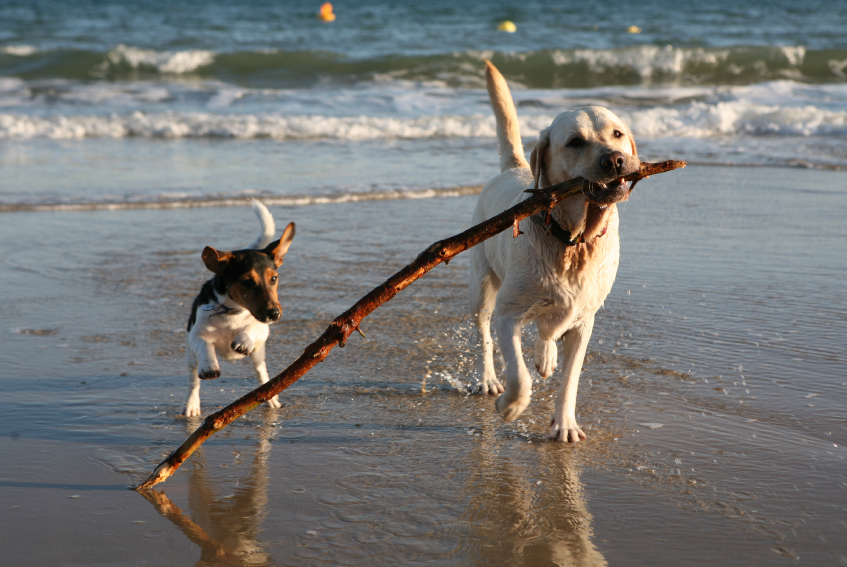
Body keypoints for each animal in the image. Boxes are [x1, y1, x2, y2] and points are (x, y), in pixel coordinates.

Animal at [182, 200, 294, 418]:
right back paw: (191, 405)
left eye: (274, 279)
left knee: (262, 374)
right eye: (247, 282)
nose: (275, 314)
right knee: (193, 382)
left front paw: (243, 339)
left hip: (258, 355)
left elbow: (252, 327)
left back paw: (271, 399)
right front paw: (210, 364)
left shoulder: (263, 329)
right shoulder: (195, 335)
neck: (233, 312)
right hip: (190, 358)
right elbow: (205, 346)